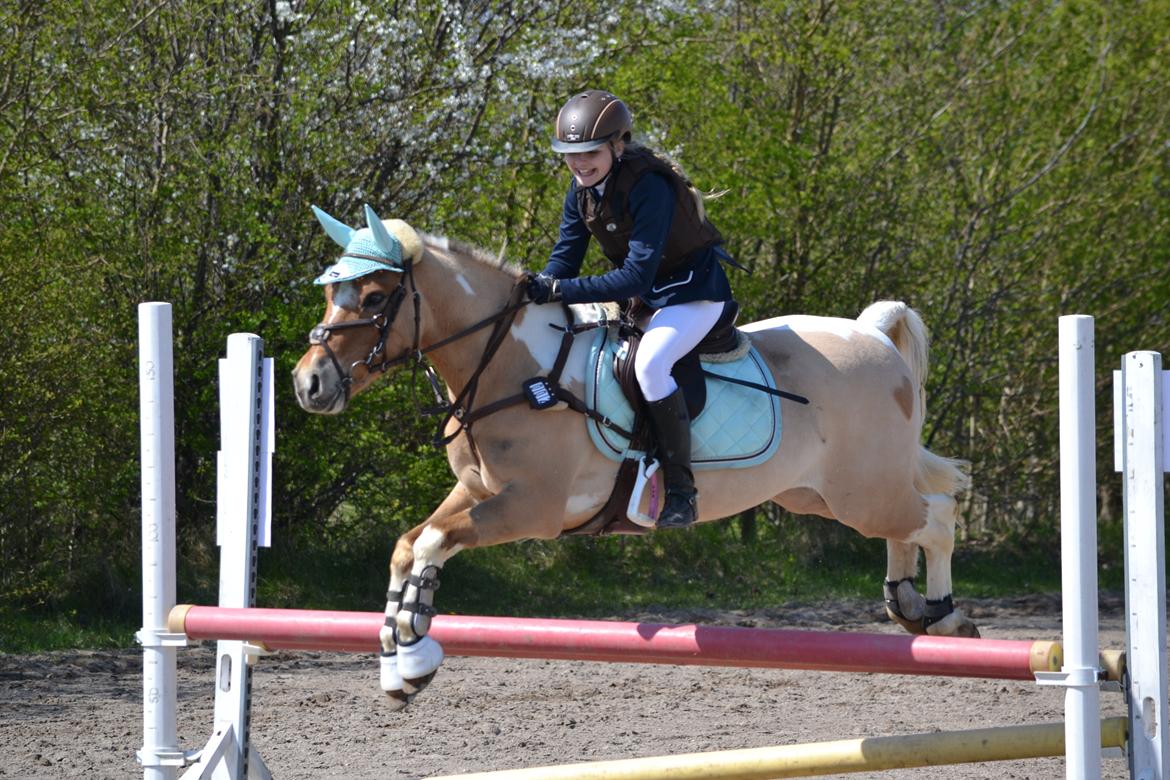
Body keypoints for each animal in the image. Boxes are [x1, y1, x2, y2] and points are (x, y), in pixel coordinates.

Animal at [292, 204, 976, 708]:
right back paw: (906, 603)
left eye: (374, 298)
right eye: (334, 295)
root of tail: (871, 334)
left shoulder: (531, 509)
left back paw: (943, 618)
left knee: (937, 516)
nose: (308, 384)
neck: (512, 365)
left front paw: (413, 657)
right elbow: (410, 545)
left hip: (860, 493)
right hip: (823, 495)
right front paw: (398, 665)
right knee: (910, 525)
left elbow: (434, 542)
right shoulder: (480, 491)